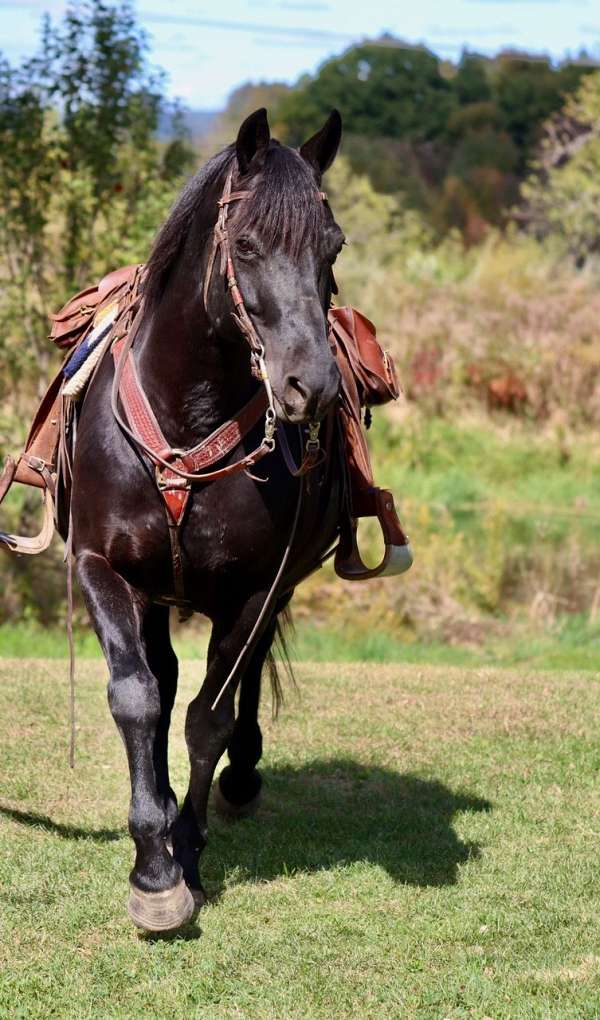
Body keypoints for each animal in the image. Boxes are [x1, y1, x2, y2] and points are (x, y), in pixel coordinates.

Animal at [66, 109, 346, 934]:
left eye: (333, 246)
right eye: (246, 245)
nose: (311, 385)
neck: (185, 417)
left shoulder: (255, 590)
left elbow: (208, 718)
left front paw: (182, 853)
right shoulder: (102, 568)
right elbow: (138, 697)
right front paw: (152, 862)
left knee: (240, 685)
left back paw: (242, 777)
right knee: (157, 679)